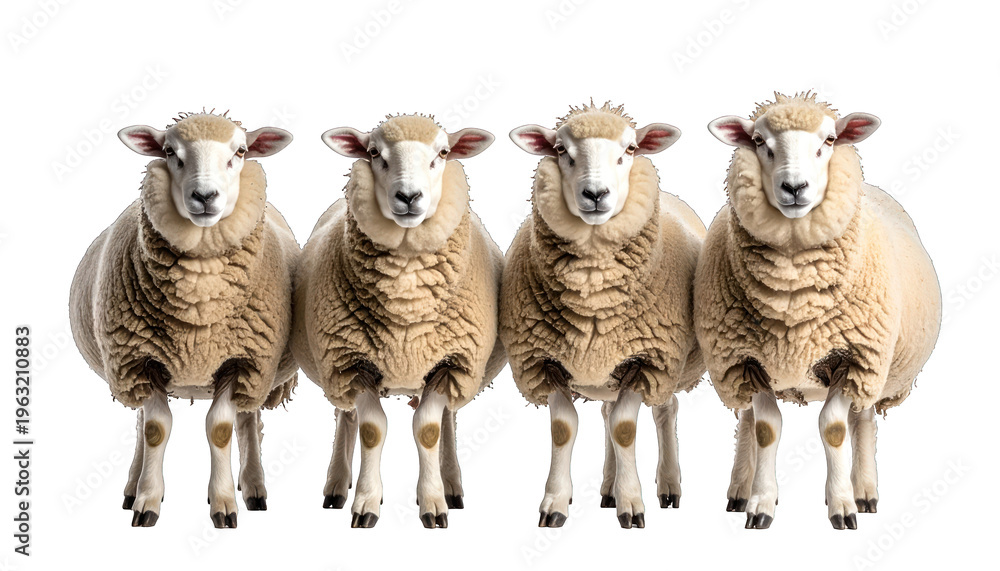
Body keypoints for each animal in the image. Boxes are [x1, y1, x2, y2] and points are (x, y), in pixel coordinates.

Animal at [68, 111, 297, 528]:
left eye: (241, 151)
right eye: (169, 152)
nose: (205, 196)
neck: (197, 305)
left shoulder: (241, 360)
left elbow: (221, 429)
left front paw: (223, 504)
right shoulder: (140, 359)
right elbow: (155, 430)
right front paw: (147, 502)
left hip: (259, 371)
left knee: (248, 420)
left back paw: (254, 488)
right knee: (141, 423)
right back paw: (132, 487)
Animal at [291, 114, 503, 529]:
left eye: (443, 152)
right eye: (374, 153)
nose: (408, 197)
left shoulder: (449, 362)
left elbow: (429, 430)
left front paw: (433, 504)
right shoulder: (351, 361)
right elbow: (371, 430)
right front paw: (366, 503)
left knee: (448, 421)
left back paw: (452, 486)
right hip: (334, 368)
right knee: (345, 418)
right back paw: (337, 486)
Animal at [502, 101, 706, 529]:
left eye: (630, 148)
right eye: (560, 149)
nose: (595, 194)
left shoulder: (647, 358)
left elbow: (626, 429)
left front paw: (634, 504)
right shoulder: (545, 360)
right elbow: (565, 429)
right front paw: (555, 503)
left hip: (669, 366)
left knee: (664, 411)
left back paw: (668, 486)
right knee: (608, 413)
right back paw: (609, 489)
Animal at [698, 92, 941, 530]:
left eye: (829, 140)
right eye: (758, 141)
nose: (795, 187)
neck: (792, 301)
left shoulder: (854, 357)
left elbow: (834, 429)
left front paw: (842, 505)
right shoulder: (747, 358)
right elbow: (765, 428)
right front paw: (760, 503)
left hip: (875, 367)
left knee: (863, 420)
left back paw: (865, 492)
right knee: (746, 420)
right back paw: (740, 490)